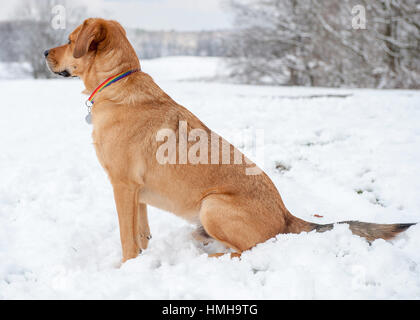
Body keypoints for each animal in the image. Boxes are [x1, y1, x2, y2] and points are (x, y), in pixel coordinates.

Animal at [45, 18, 414, 262]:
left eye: (70, 39)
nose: (45, 51)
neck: (117, 84)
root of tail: (286, 215)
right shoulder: (136, 193)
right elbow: (141, 232)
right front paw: (142, 259)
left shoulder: (122, 186)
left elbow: (126, 237)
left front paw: (126, 267)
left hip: (212, 205)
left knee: (246, 251)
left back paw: (212, 258)